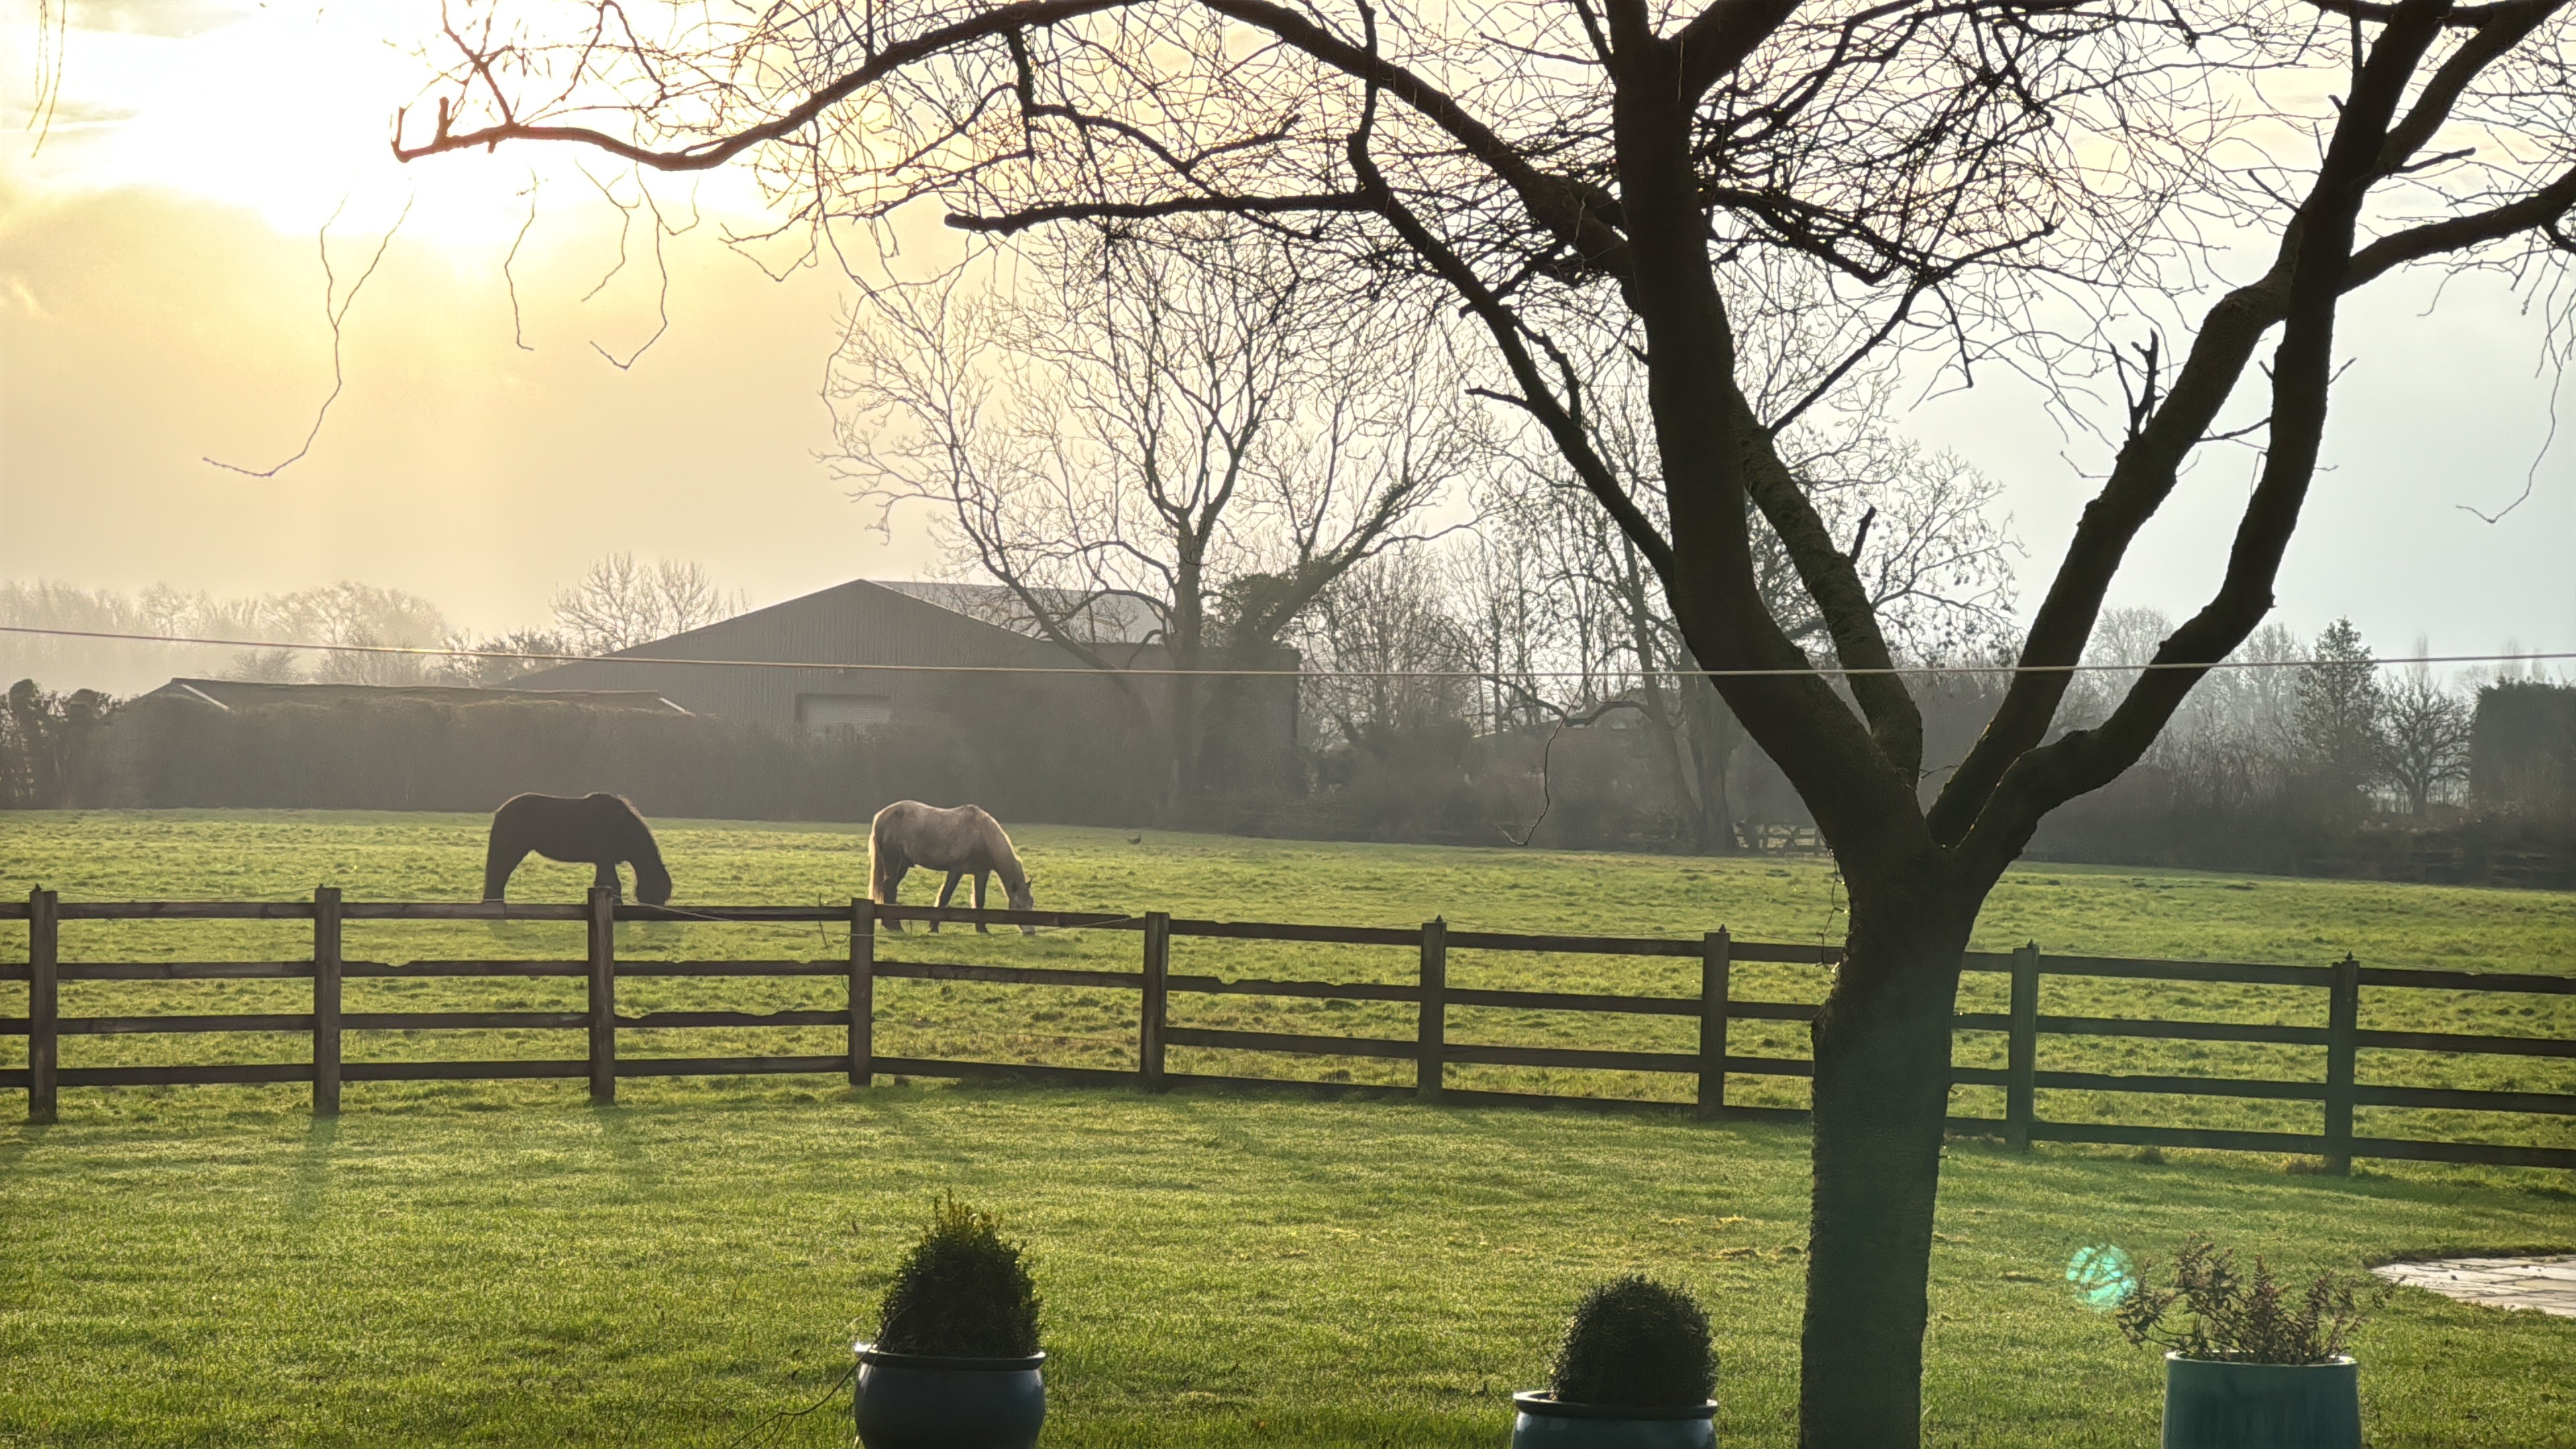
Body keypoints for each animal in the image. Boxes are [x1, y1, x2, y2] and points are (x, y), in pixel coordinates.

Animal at [483, 793, 674, 905]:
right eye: (657, 890)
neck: (620, 825)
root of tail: (502, 810)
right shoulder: (605, 860)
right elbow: (612, 884)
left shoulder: (604, 861)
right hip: (511, 851)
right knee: (498, 875)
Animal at [869, 801, 1035, 934]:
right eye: (1019, 905)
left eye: (1031, 903)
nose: (1031, 932)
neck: (982, 835)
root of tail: (882, 816)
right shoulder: (956, 871)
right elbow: (945, 896)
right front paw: (933, 927)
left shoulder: (981, 873)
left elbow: (980, 900)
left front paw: (982, 929)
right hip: (893, 861)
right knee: (890, 887)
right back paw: (895, 926)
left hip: (903, 865)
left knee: (888, 888)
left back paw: (888, 924)